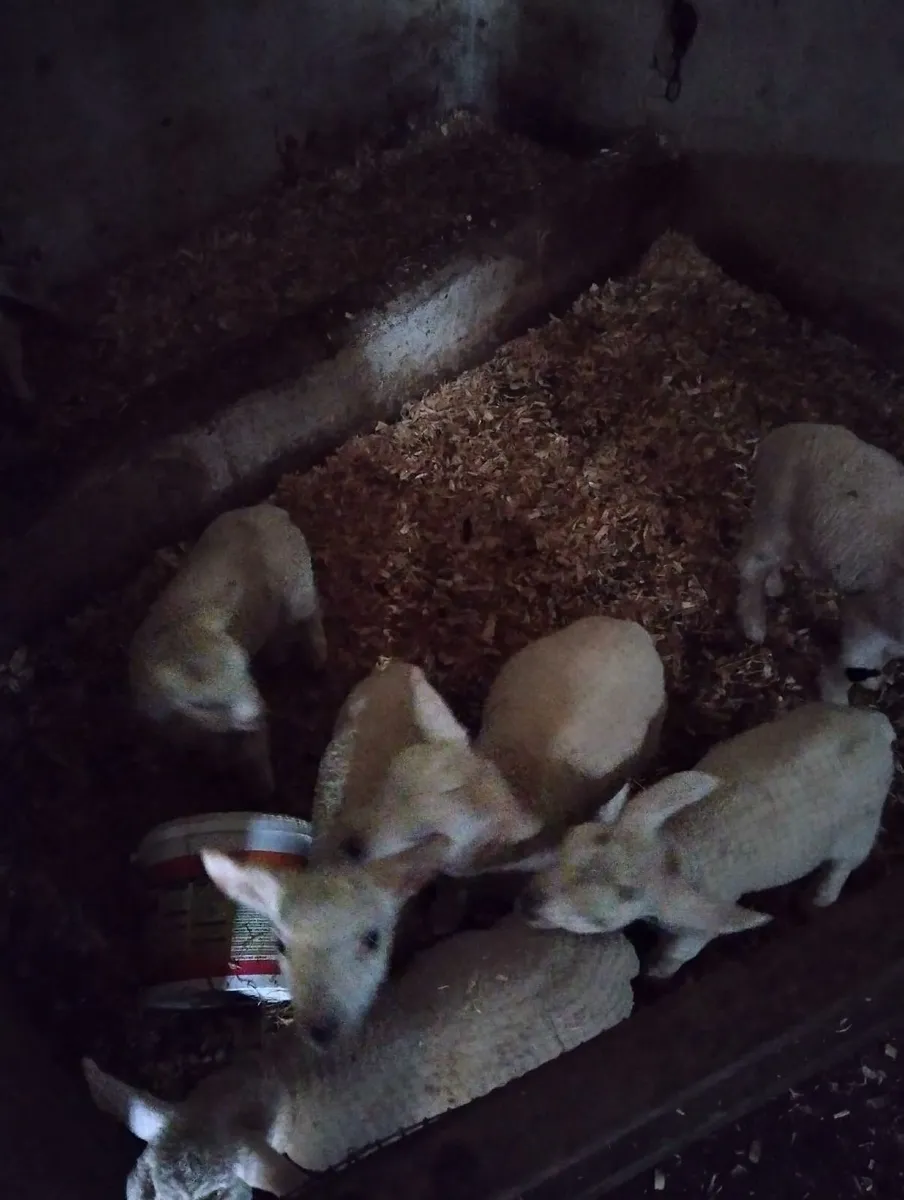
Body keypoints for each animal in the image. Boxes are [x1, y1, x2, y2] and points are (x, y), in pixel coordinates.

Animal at [129, 504, 326, 797]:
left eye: (244, 669)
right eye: (204, 703)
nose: (260, 711)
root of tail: (270, 509)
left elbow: (254, 754)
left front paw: (264, 791)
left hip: (297, 583)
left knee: (310, 612)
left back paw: (317, 656)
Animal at [520, 701, 895, 978]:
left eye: (598, 922)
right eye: (571, 844)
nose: (529, 903)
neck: (676, 850)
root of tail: (879, 727)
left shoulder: (702, 919)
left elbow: (684, 949)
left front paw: (657, 972)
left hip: (861, 826)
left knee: (845, 864)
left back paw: (822, 898)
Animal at [736, 421, 904, 704]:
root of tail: (781, 435)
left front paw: (873, 680)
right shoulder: (869, 616)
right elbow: (856, 662)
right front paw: (836, 700)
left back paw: (773, 585)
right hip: (776, 514)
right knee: (751, 566)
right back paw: (754, 626)